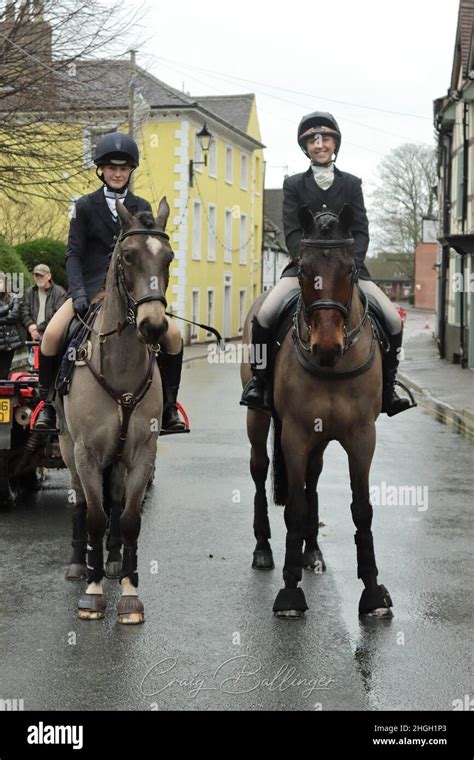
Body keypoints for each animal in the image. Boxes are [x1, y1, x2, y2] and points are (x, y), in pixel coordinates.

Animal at [58, 196, 174, 624]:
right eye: (127, 256)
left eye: (169, 258)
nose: (154, 326)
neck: (120, 366)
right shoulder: (86, 454)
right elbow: (93, 515)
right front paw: (92, 594)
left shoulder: (141, 454)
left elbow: (128, 519)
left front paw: (128, 591)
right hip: (67, 449)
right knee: (80, 501)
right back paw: (81, 563)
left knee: (117, 503)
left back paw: (109, 560)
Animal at [241, 206, 392, 616]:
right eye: (305, 269)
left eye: (351, 269)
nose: (326, 346)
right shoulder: (295, 434)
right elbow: (293, 506)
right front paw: (290, 592)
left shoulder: (363, 437)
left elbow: (362, 508)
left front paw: (373, 592)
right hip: (258, 421)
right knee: (259, 471)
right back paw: (263, 549)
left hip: (321, 440)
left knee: (313, 477)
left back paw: (312, 552)